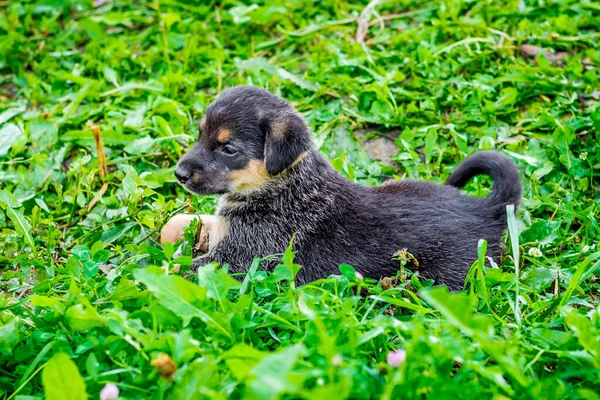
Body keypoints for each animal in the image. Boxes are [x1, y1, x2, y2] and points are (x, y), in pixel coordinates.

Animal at [175, 86, 520, 290]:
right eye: (200, 134)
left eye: (228, 149)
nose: (178, 174)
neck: (281, 185)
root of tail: (486, 209)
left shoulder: (239, 258)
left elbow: (177, 266)